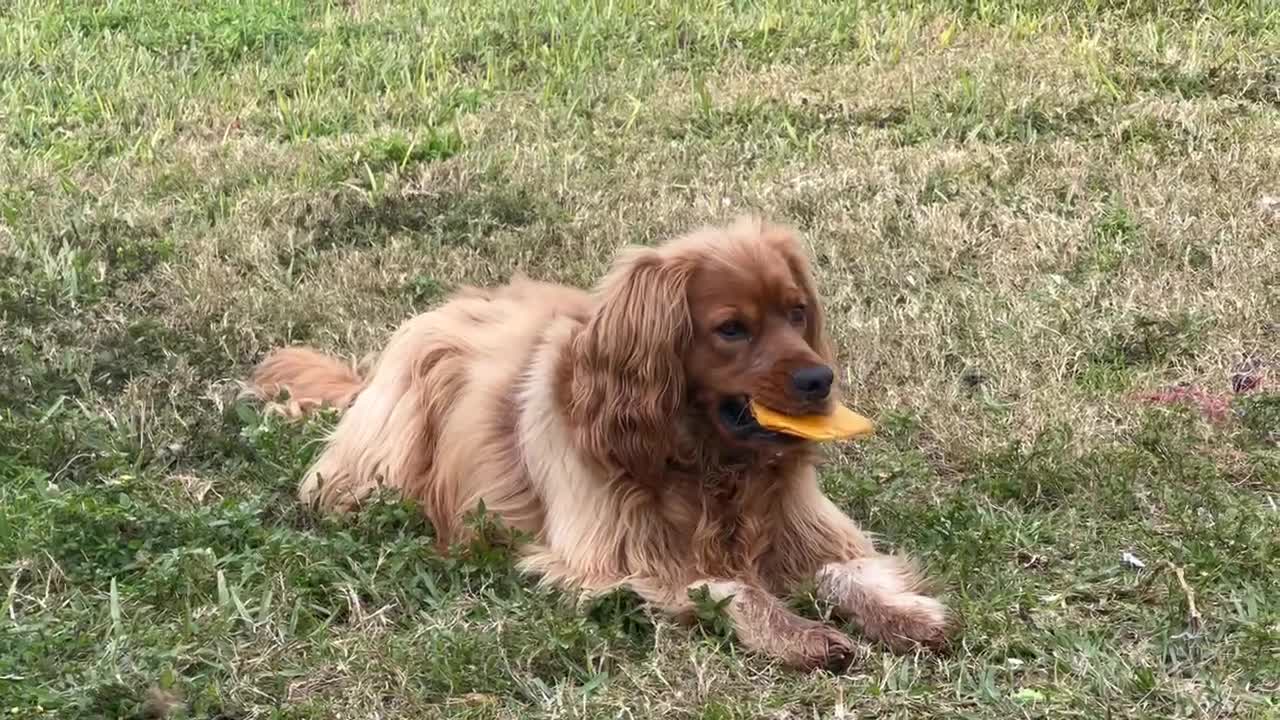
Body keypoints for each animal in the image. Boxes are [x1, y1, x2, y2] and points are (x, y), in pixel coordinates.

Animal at [252, 213, 952, 666]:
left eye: (797, 312)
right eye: (731, 329)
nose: (819, 380)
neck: (706, 463)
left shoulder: (811, 530)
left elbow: (849, 571)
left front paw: (908, 615)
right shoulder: (615, 561)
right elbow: (733, 588)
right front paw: (799, 634)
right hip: (379, 471)